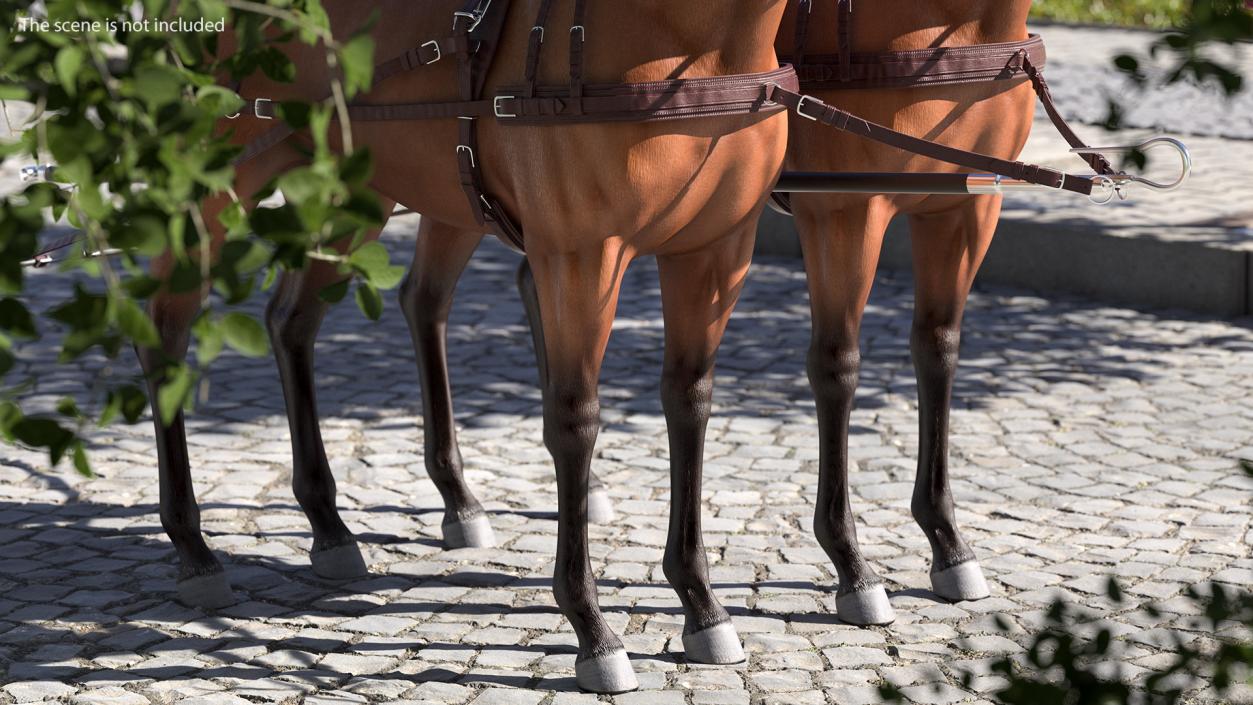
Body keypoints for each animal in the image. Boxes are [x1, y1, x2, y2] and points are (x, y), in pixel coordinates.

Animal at [134, 0, 781, 696]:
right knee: (165, 326)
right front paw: (592, 628)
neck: (697, 41)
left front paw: (702, 604)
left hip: (357, 191)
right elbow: (574, 425)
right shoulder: (580, 255)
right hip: (215, 182)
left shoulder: (718, 251)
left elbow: (689, 407)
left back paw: (331, 525)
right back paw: (194, 548)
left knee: (295, 320)